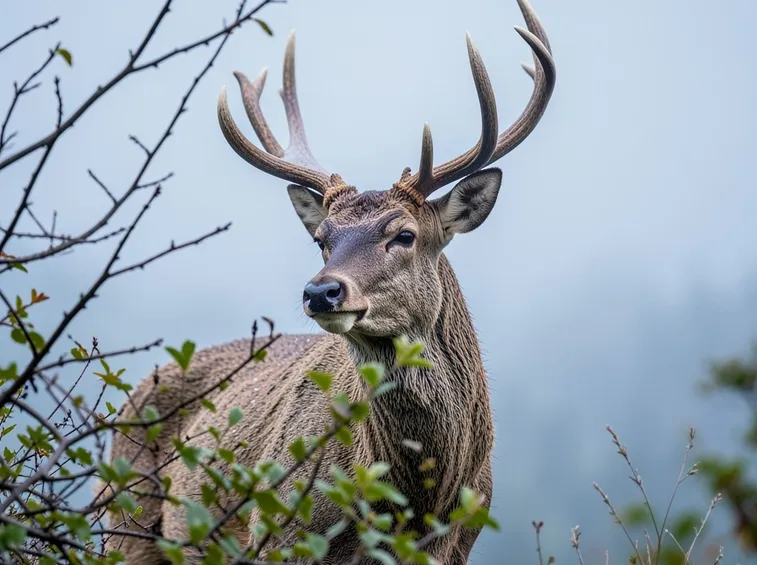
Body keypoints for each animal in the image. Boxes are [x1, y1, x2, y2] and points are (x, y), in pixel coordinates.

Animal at [102, 0, 555, 562]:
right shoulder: (278, 527)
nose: (321, 291)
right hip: (122, 518)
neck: (412, 505)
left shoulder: (458, 542)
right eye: (322, 238)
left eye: (405, 234)